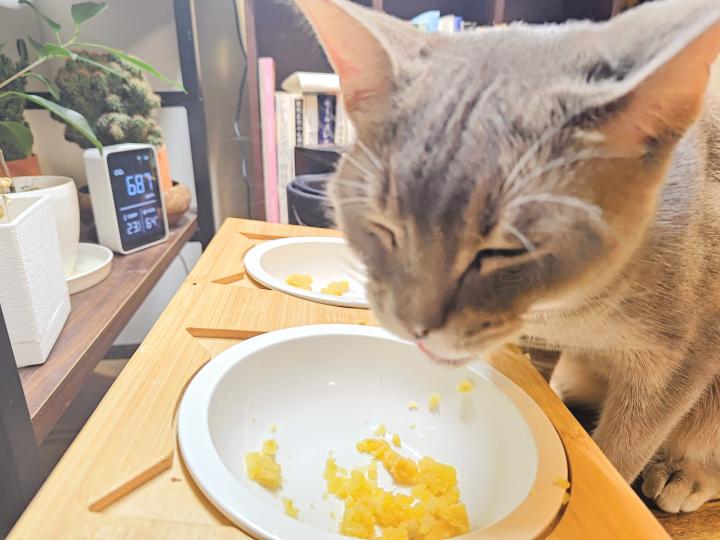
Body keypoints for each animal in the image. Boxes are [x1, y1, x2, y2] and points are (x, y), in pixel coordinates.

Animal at [294, 0, 720, 514]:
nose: (415, 325)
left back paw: (683, 472)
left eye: (505, 249)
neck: (569, 315)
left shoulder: (683, 359)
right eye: (383, 226)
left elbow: (623, 450)